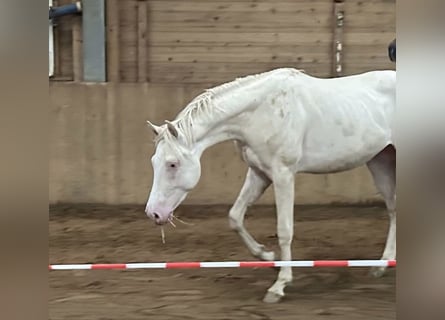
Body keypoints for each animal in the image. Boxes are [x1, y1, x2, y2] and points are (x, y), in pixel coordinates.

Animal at [145, 67, 396, 302]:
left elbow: (284, 230)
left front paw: (279, 285)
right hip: (380, 161)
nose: (153, 213)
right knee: (393, 209)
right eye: (154, 161)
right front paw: (268, 257)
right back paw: (382, 264)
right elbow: (235, 217)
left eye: (172, 164)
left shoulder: (283, 175)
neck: (262, 112)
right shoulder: (259, 174)